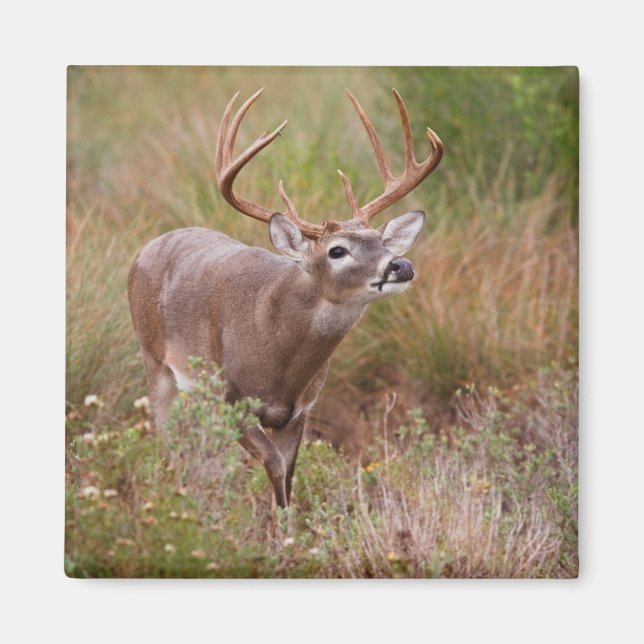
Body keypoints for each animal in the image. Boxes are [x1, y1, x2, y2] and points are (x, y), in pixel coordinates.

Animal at [128, 88, 443, 508]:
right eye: (337, 250)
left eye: (381, 241)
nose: (401, 265)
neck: (279, 352)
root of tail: (147, 248)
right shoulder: (233, 399)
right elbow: (275, 467)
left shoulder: (301, 410)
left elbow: (288, 477)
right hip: (154, 359)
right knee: (165, 442)